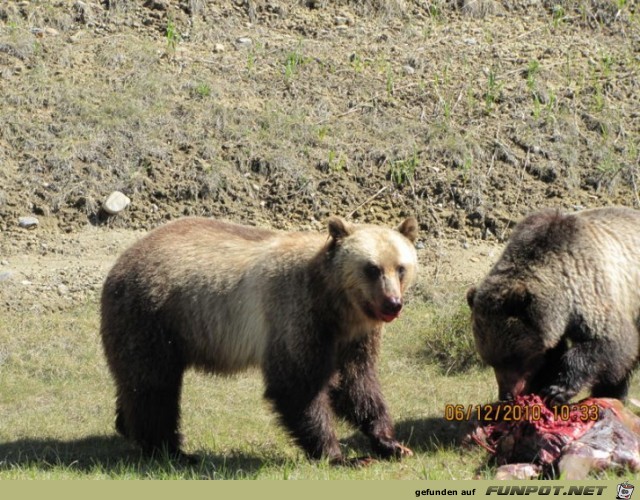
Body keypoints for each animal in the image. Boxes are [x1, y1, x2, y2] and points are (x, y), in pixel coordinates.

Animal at [100, 217, 420, 462]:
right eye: (372, 268)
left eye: (401, 267)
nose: (392, 304)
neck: (338, 305)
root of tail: (122, 260)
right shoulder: (296, 316)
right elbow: (298, 386)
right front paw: (340, 455)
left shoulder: (354, 337)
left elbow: (357, 384)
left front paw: (391, 443)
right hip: (154, 316)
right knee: (154, 387)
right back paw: (172, 451)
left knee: (135, 385)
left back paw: (126, 427)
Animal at [464, 205, 640, 404]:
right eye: (491, 361)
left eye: (514, 357)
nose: (506, 395)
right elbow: (550, 354)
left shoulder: (591, 289)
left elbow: (607, 341)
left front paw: (557, 390)